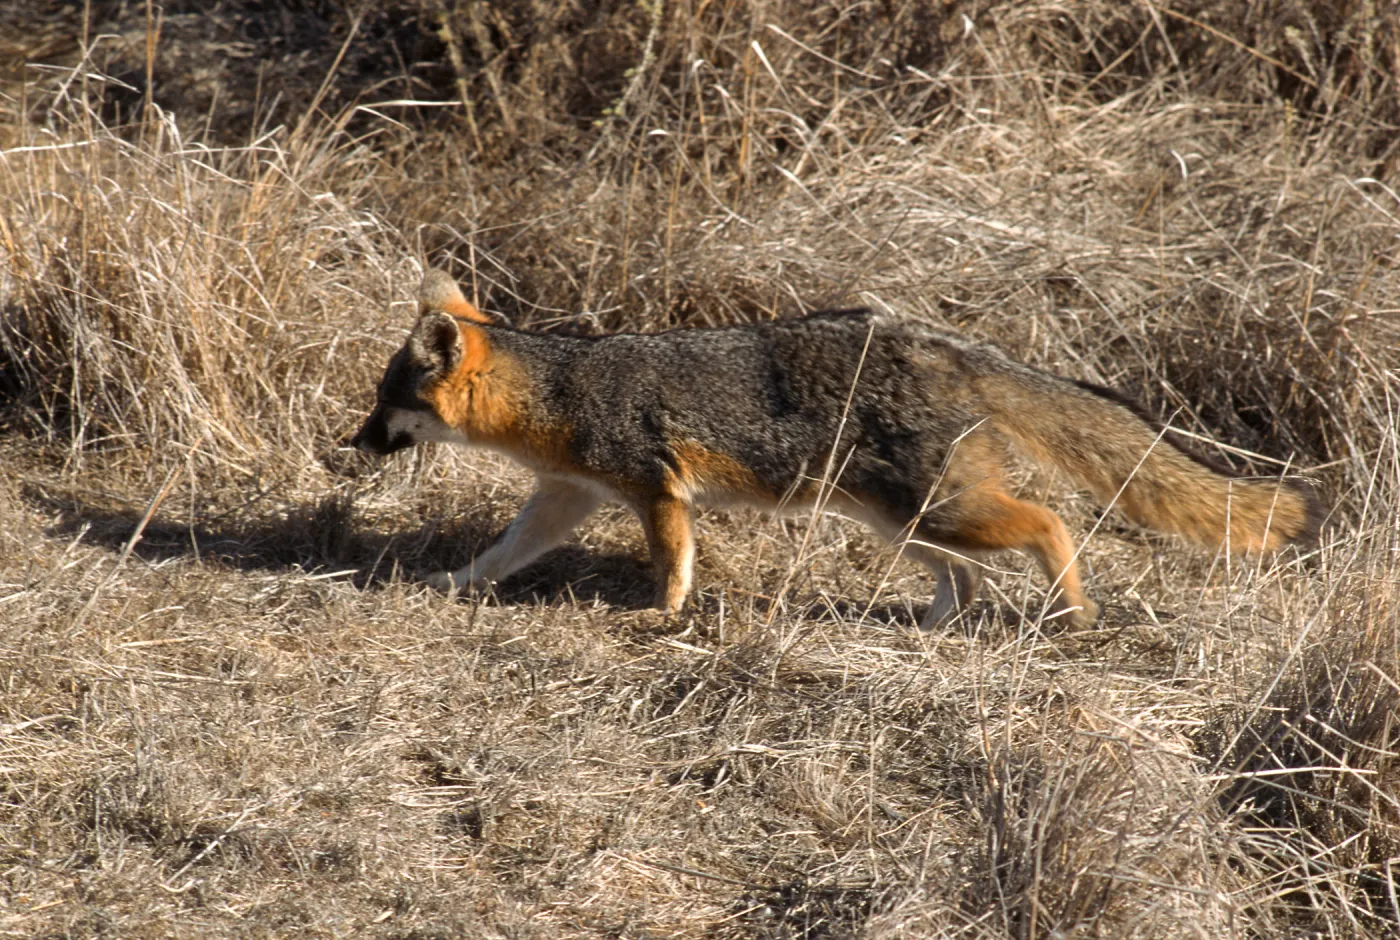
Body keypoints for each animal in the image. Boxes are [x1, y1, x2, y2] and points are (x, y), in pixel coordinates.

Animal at [350, 268, 1322, 630]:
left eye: (383, 404)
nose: (352, 443)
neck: (559, 392)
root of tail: (940, 341)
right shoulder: (569, 494)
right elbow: (501, 554)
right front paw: (444, 584)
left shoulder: (657, 493)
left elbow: (671, 562)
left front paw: (662, 617)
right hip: (902, 523)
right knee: (965, 576)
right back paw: (934, 629)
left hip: (937, 510)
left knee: (1048, 524)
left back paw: (1074, 613)